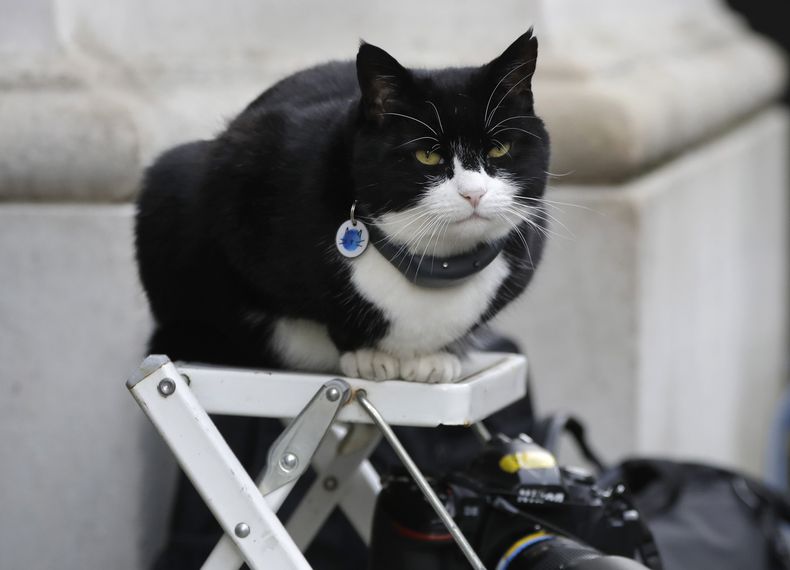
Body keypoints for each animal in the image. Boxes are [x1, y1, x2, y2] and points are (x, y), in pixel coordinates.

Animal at [136, 27, 552, 382]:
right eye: (427, 156)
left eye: (499, 148)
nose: (473, 194)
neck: (434, 262)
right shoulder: (241, 174)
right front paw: (367, 354)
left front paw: (437, 357)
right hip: (171, 177)